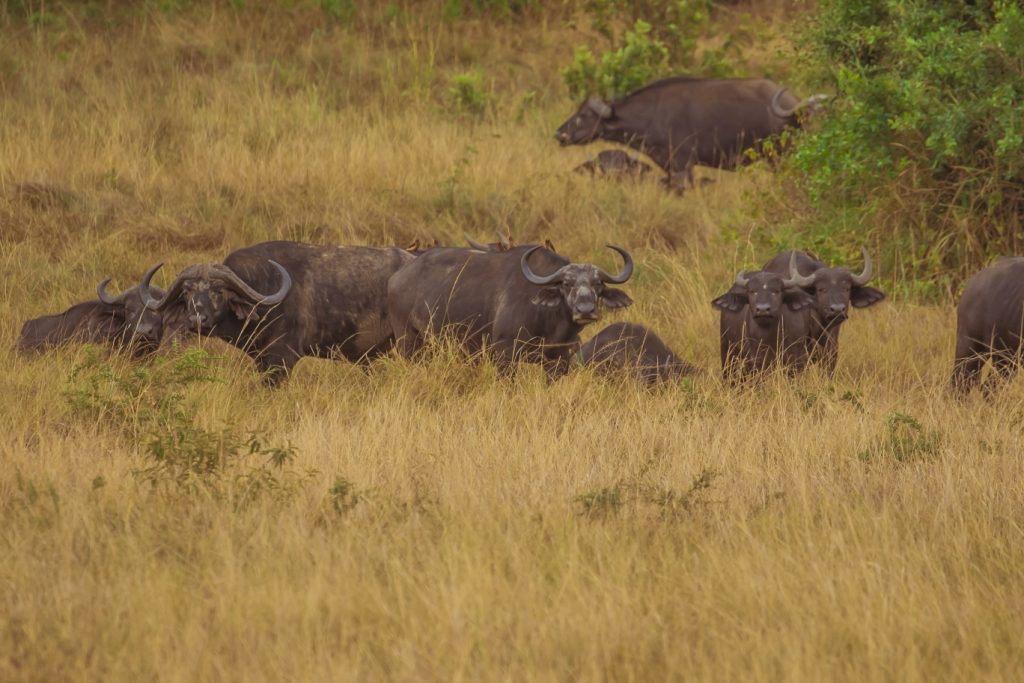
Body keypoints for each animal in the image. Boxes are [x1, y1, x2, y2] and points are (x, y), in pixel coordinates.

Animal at [385, 244, 630, 378]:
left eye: (598, 284)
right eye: (567, 284)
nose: (585, 310)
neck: (550, 324)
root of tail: (397, 277)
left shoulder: (559, 361)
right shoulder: (505, 355)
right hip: (408, 341)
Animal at [557, 76, 827, 191]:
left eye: (583, 115)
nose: (559, 134)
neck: (652, 115)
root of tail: (796, 105)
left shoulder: (682, 166)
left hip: (781, 156)